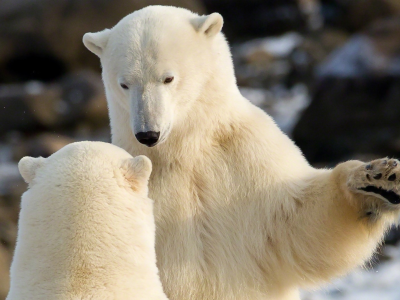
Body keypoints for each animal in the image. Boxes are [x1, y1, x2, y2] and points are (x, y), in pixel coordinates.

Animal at [84, 5, 400, 300]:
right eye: (124, 84)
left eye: (168, 78)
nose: (148, 134)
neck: (183, 149)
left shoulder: (247, 156)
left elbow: (300, 224)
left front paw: (379, 181)